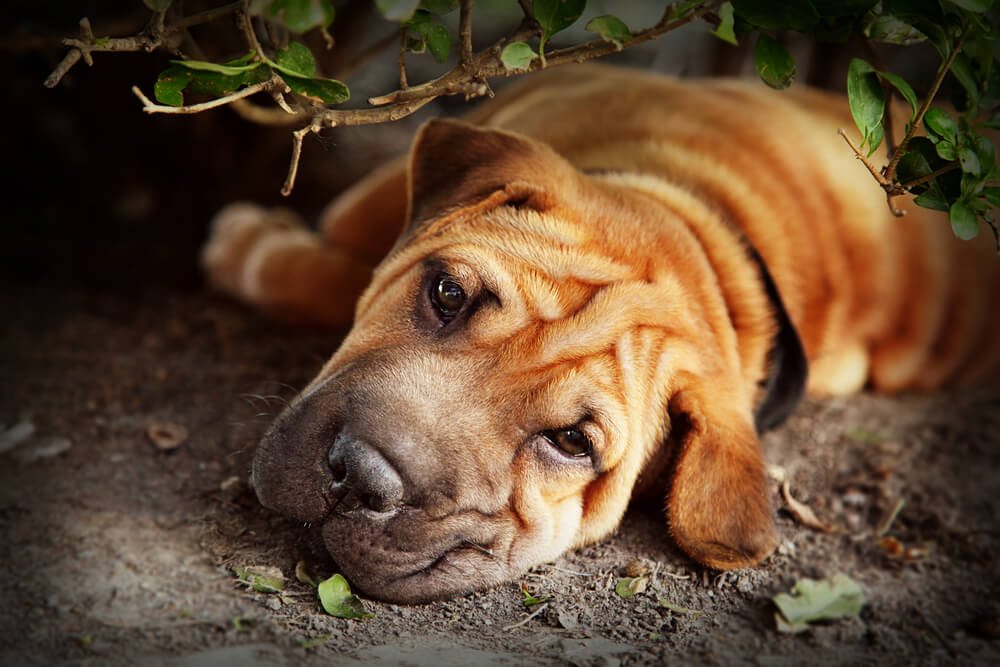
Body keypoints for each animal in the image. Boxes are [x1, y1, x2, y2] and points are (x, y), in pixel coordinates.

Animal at [201, 65, 1000, 604]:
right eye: (448, 293)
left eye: (571, 442)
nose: (360, 476)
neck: (708, 234)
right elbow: (359, 235)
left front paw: (250, 248)